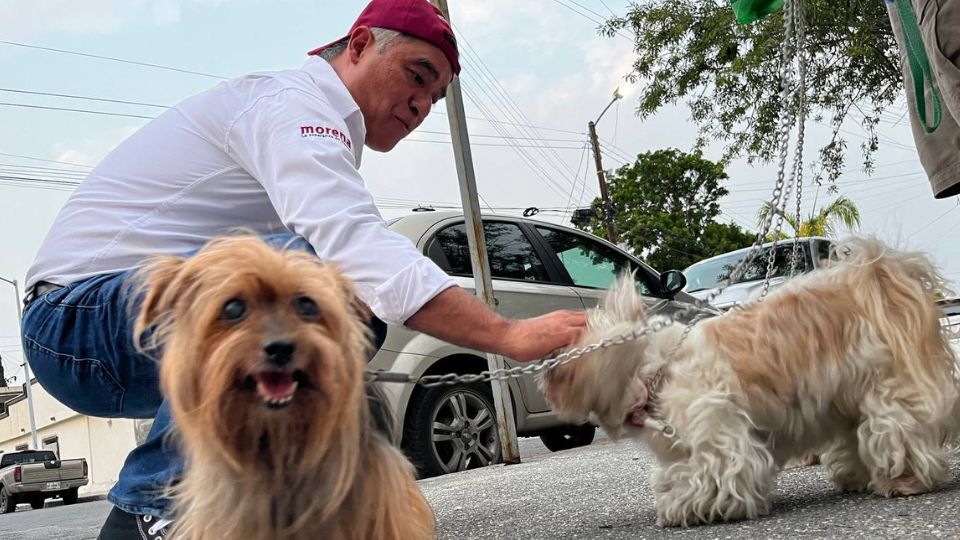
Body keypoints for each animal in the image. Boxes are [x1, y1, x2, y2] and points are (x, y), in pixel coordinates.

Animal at [540, 238, 960, 524]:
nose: (544, 364)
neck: (654, 370)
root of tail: (875, 275)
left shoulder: (718, 440)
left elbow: (710, 478)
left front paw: (678, 507)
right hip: (844, 398)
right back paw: (855, 476)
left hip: (885, 390)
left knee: (899, 431)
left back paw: (903, 478)